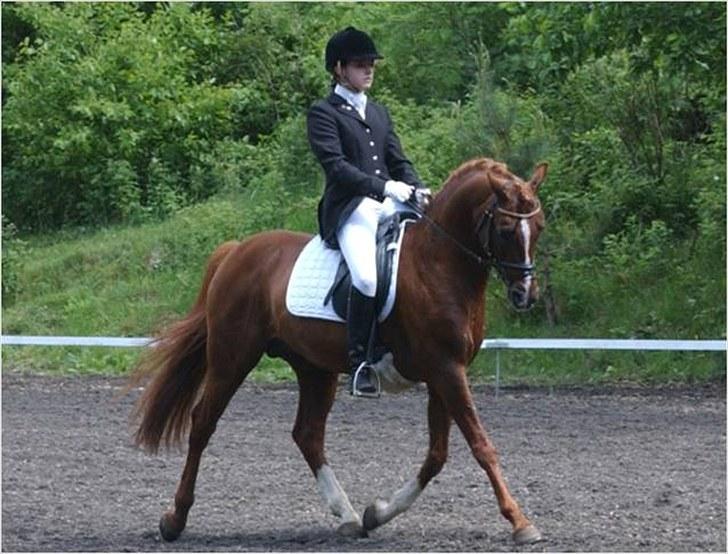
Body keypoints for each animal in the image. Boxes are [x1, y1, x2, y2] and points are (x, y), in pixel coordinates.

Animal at [131, 157, 548, 545]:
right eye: (507, 229)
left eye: (540, 227)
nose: (525, 296)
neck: (438, 263)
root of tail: (237, 250)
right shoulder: (446, 369)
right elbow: (481, 445)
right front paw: (520, 522)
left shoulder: (445, 372)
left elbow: (437, 455)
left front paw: (377, 513)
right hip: (231, 359)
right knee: (203, 423)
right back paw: (174, 520)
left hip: (313, 368)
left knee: (307, 434)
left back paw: (347, 516)